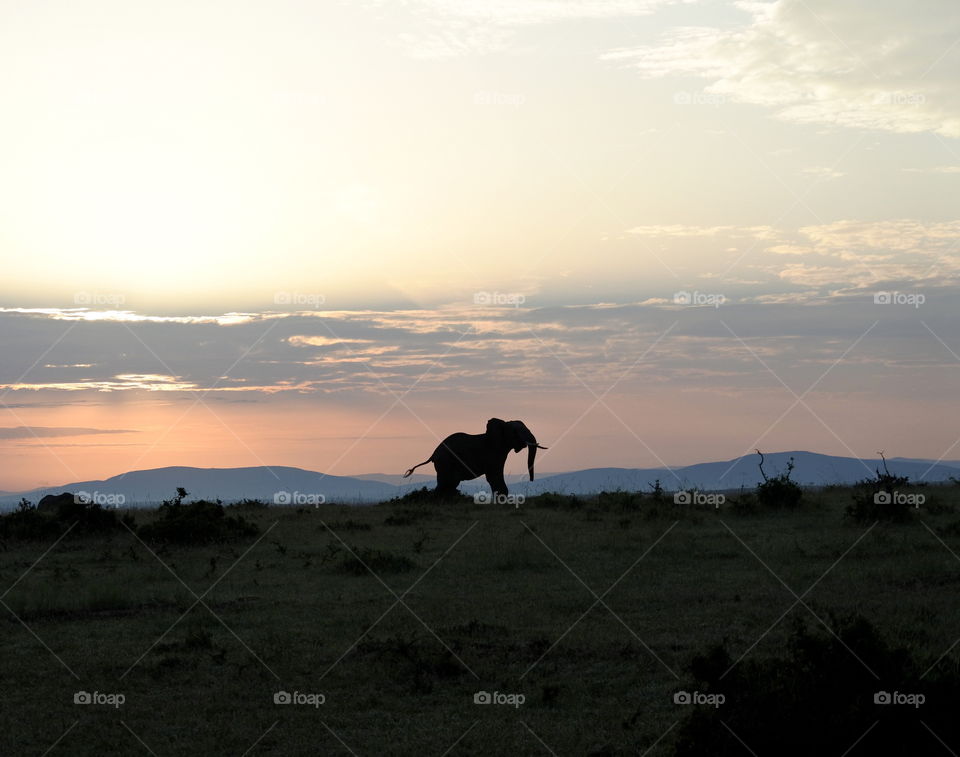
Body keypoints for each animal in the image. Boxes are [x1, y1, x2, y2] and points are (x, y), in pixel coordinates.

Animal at [402, 418, 547, 498]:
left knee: (449, 485)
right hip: (445, 462)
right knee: (446, 483)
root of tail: (432, 454)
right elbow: (494, 476)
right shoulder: (493, 453)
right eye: (515, 432)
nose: (531, 480)